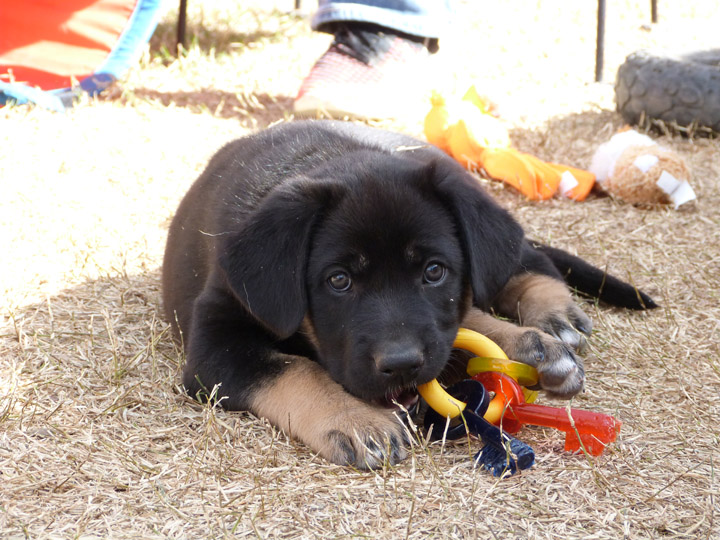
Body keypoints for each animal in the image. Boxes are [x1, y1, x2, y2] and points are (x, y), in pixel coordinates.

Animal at [162, 121, 652, 468]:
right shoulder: (215, 342)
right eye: (338, 280)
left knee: (522, 263)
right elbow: (295, 369)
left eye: (434, 272)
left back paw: (549, 325)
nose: (400, 365)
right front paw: (354, 420)